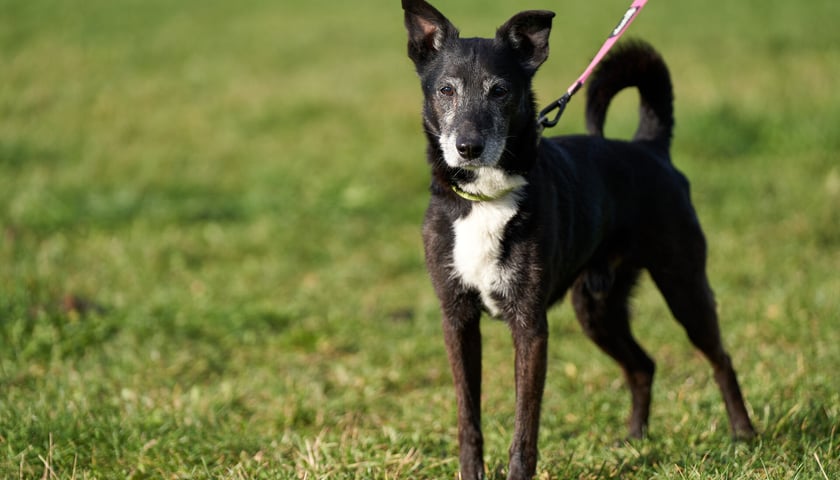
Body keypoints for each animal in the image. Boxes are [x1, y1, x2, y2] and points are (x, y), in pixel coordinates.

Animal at [402, 1, 760, 478]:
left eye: (499, 91)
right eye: (445, 90)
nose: (468, 147)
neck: (484, 197)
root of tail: (650, 147)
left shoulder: (530, 326)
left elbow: (524, 426)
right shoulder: (457, 319)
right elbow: (468, 417)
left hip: (683, 286)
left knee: (720, 357)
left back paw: (743, 434)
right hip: (595, 307)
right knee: (643, 365)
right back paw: (633, 441)